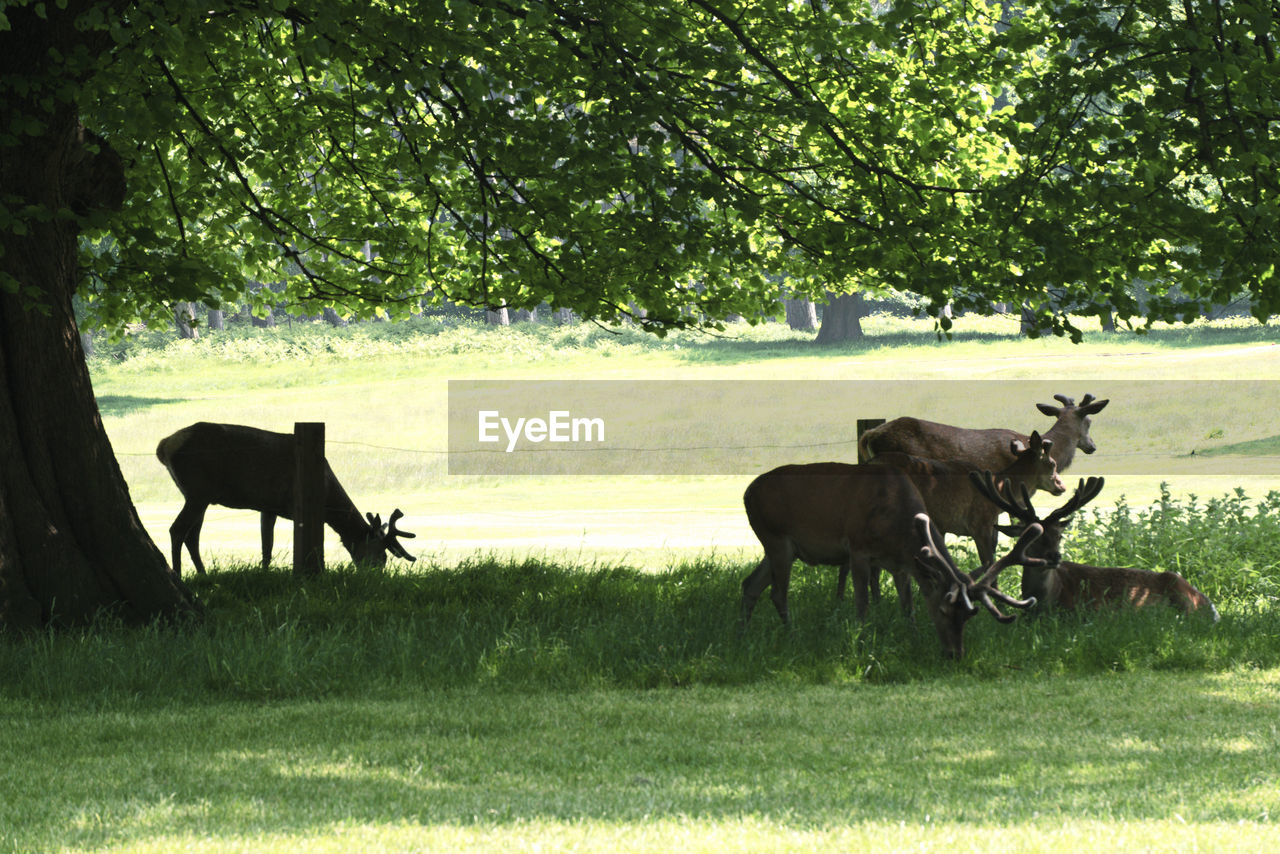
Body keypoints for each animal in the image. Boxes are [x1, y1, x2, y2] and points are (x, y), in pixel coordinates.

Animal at [154, 419, 414, 573]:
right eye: (381, 556)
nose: (377, 576)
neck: (326, 495)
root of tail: (164, 446)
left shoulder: (268, 507)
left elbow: (266, 547)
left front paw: (264, 572)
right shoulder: (296, 504)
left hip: (200, 495)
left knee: (192, 535)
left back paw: (202, 574)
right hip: (197, 490)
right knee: (178, 530)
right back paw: (178, 574)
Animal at [737, 463, 1044, 660]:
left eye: (970, 616)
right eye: (943, 611)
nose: (955, 655)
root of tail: (747, 492)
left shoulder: (902, 564)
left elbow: (908, 607)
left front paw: (915, 640)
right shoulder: (858, 548)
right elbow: (862, 603)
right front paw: (859, 642)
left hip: (778, 547)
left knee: (749, 584)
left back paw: (743, 635)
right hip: (776, 537)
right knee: (778, 593)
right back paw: (791, 636)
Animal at [849, 435, 1070, 606]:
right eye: (1052, 463)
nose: (1062, 486)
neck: (996, 492)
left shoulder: (944, 524)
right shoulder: (979, 525)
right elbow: (989, 562)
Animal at [967, 473, 1218, 622]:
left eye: (1059, 535)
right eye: (1033, 538)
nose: (1055, 556)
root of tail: (1210, 605)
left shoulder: (1087, 611)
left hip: (1179, 591)